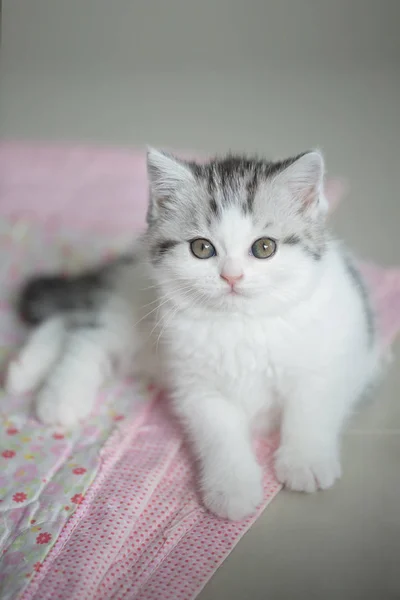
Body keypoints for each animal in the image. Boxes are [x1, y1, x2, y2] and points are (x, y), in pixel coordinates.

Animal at [7, 149, 382, 520]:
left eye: (264, 247)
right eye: (202, 248)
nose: (231, 276)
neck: (241, 324)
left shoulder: (333, 352)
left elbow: (310, 408)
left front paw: (306, 461)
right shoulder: (196, 387)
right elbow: (220, 433)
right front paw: (232, 488)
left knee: (72, 319)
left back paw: (25, 370)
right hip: (133, 305)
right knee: (87, 333)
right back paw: (58, 395)